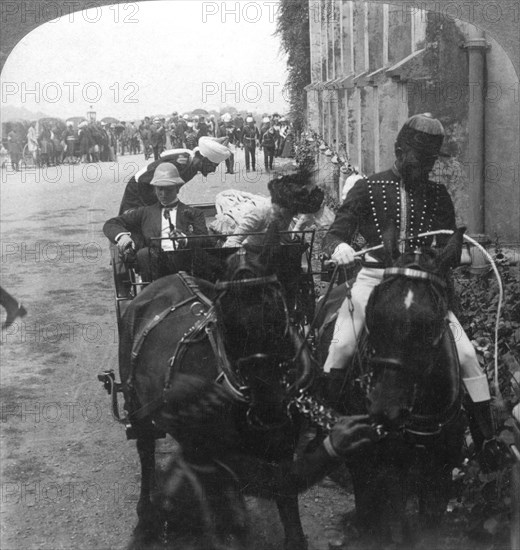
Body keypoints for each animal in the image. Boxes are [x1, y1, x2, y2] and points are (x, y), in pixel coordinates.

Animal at [119, 246, 316, 550]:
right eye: (225, 318)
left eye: (276, 308)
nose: (269, 404)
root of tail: (162, 280)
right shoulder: (215, 461)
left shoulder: (282, 453)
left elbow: (289, 515)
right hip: (136, 405)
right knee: (146, 450)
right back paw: (147, 512)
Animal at [320, 229, 468, 548]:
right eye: (373, 311)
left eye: (432, 323)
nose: (385, 409)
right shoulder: (390, 467)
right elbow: (394, 521)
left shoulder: (441, 469)